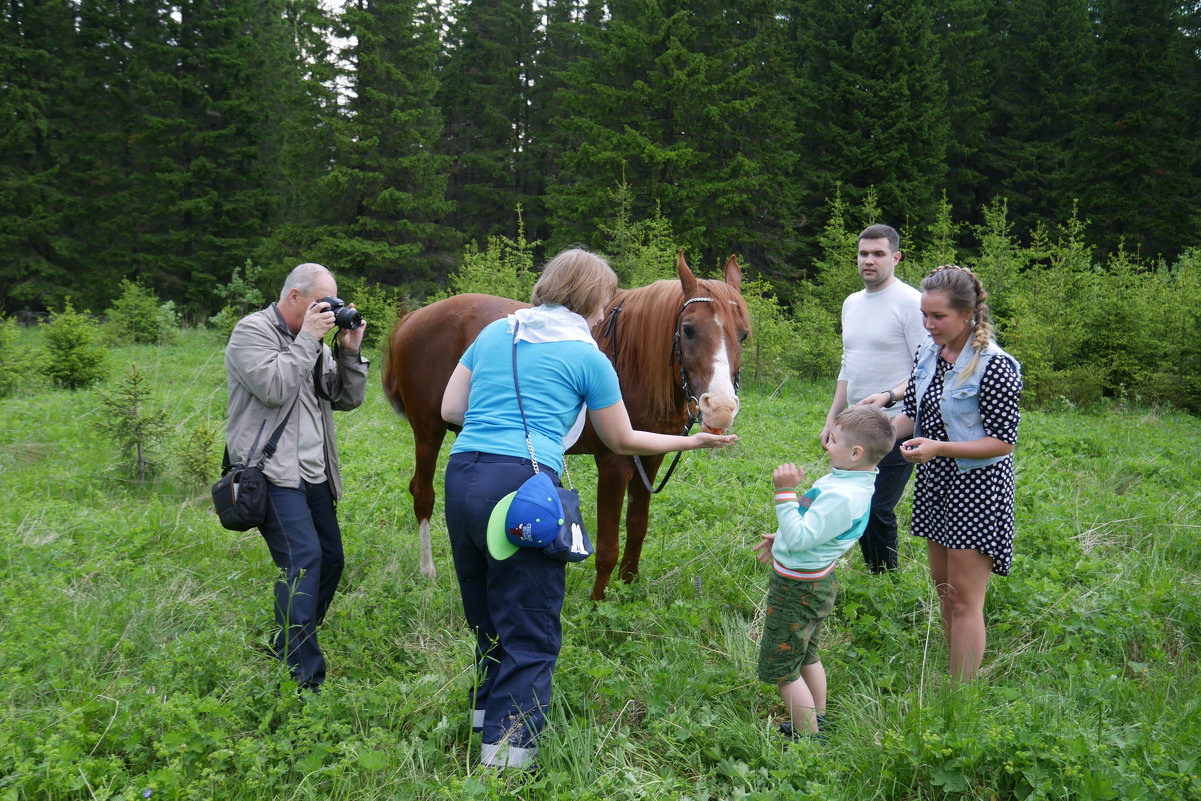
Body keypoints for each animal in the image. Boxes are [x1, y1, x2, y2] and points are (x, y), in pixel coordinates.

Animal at [379, 253, 749, 598]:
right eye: (688, 330)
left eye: (743, 335)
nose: (720, 407)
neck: (634, 363)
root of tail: (415, 317)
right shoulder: (614, 464)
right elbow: (607, 546)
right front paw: (599, 605)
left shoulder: (650, 458)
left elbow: (637, 528)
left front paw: (627, 589)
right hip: (427, 431)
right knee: (423, 494)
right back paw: (427, 571)